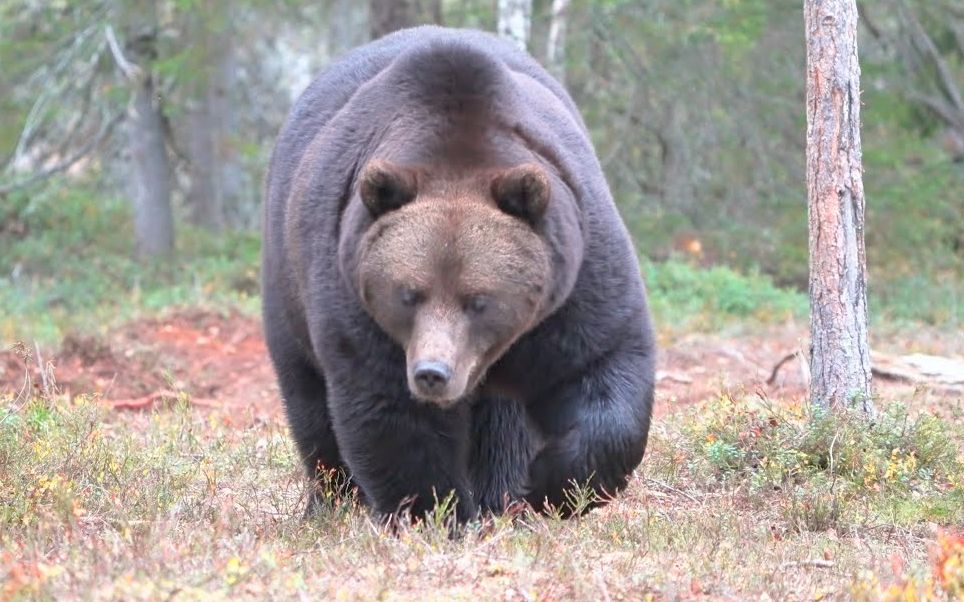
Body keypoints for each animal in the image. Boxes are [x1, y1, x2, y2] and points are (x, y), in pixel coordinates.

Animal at [264, 25, 656, 520]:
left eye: (479, 299)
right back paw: (333, 501)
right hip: (288, 291)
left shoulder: (574, 280)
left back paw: (500, 492)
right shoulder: (353, 294)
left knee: (503, 421)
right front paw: (435, 512)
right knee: (310, 404)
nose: (433, 373)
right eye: (408, 294)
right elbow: (392, 412)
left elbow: (599, 367)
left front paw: (546, 487)